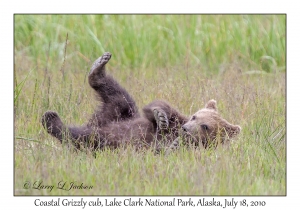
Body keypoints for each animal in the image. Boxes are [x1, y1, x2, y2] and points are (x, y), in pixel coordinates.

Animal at [41, 52, 241, 154]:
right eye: (194, 116)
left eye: (205, 126)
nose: (185, 129)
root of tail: (98, 122)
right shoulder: (175, 119)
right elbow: (159, 106)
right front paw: (160, 116)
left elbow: (164, 150)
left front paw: (174, 144)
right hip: (119, 114)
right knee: (118, 96)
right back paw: (99, 66)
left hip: (108, 138)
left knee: (84, 137)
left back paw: (52, 119)